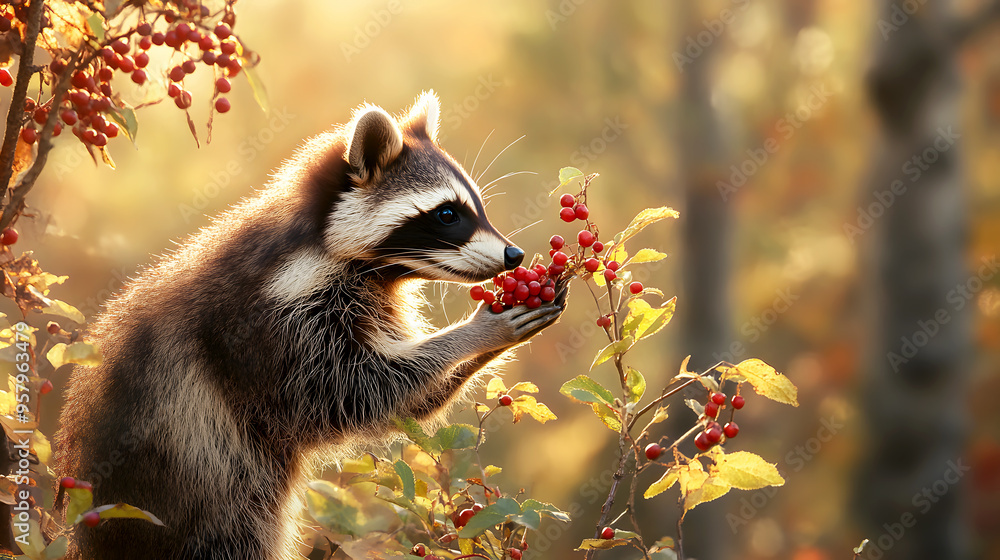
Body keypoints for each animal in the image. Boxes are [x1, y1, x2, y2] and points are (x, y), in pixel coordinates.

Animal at [54, 92, 566, 560]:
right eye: (447, 214)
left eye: (476, 207)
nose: (514, 254)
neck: (319, 246)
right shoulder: (261, 324)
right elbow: (345, 396)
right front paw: (476, 333)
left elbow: (405, 402)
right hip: (205, 505)